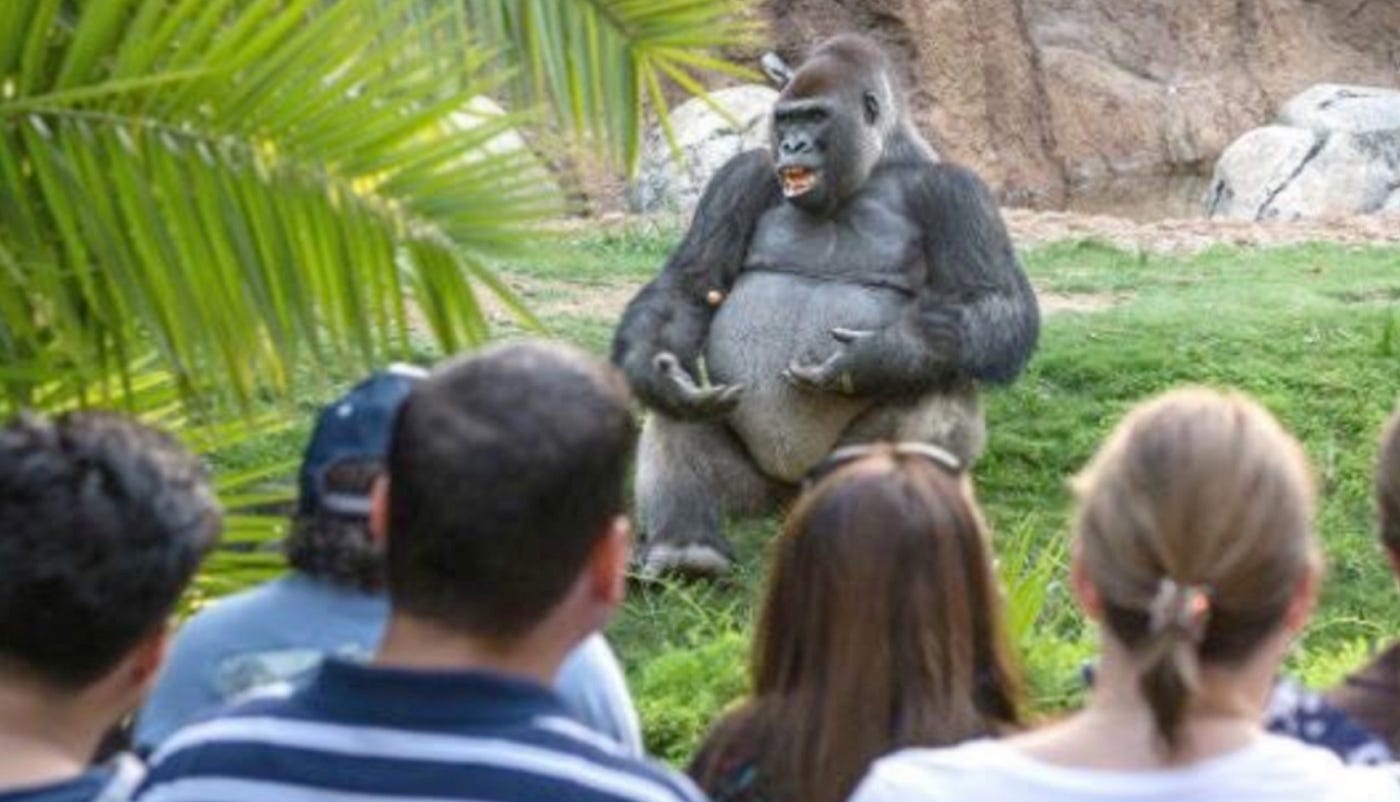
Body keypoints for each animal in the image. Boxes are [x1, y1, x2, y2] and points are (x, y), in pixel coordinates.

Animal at [611, 34, 1039, 577]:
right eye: (786, 120)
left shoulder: (960, 191)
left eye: (815, 117)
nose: (792, 146)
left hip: (831, 482)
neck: (879, 163)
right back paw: (686, 548)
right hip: (753, 498)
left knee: (942, 379)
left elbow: (996, 302)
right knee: (678, 408)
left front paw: (880, 354)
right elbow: (690, 286)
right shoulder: (740, 176)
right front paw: (655, 373)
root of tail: (789, 499)